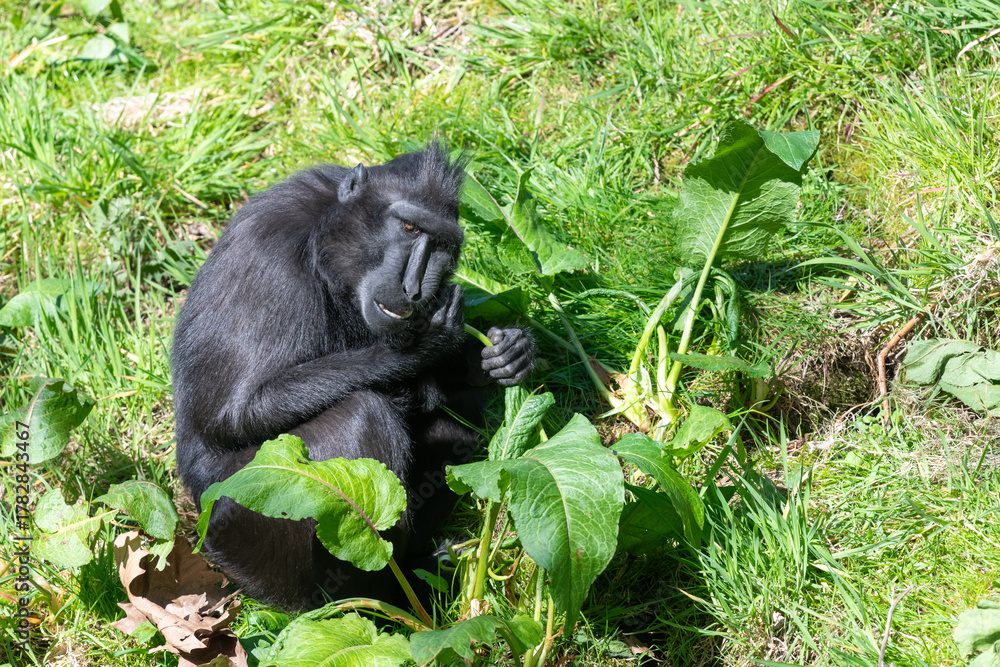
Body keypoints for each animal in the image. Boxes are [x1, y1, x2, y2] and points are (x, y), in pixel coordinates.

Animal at [171, 143, 534, 610]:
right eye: (409, 227)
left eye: (441, 246)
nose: (415, 289)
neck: (323, 248)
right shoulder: (270, 258)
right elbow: (233, 413)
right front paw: (419, 345)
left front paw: (504, 353)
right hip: (244, 513)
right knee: (361, 414)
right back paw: (380, 599)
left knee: (456, 425)